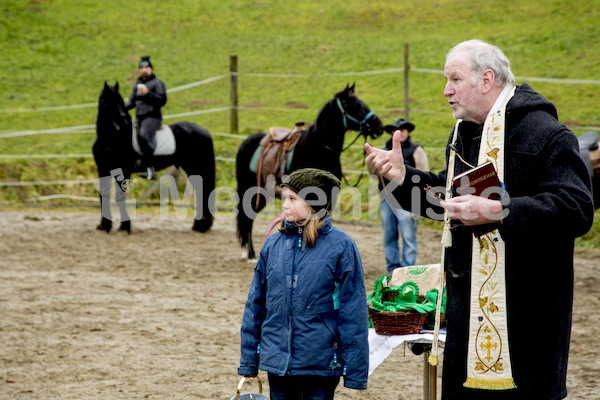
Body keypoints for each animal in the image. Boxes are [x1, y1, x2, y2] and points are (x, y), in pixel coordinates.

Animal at [94, 83, 216, 233]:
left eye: (120, 101)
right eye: (107, 102)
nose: (124, 123)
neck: (111, 138)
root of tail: (204, 131)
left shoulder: (123, 171)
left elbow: (120, 197)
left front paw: (124, 227)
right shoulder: (102, 169)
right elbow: (102, 196)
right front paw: (104, 225)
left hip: (196, 167)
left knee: (203, 191)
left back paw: (202, 226)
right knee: (201, 191)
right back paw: (199, 225)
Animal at [236, 84, 382, 260]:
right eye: (353, 104)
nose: (379, 126)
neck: (318, 147)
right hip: (251, 190)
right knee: (247, 219)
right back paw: (250, 253)